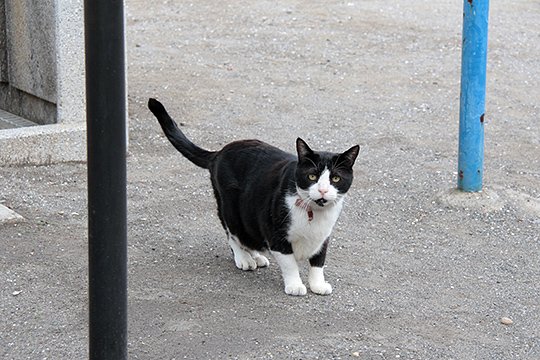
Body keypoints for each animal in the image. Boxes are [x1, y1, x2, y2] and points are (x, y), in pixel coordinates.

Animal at [148, 98, 358, 296]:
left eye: (335, 178)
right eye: (312, 176)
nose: (322, 190)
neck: (313, 213)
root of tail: (219, 153)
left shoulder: (324, 236)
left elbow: (318, 261)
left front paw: (318, 285)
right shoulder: (275, 233)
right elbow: (289, 263)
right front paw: (295, 285)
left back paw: (256, 255)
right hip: (230, 207)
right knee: (232, 233)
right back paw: (244, 259)